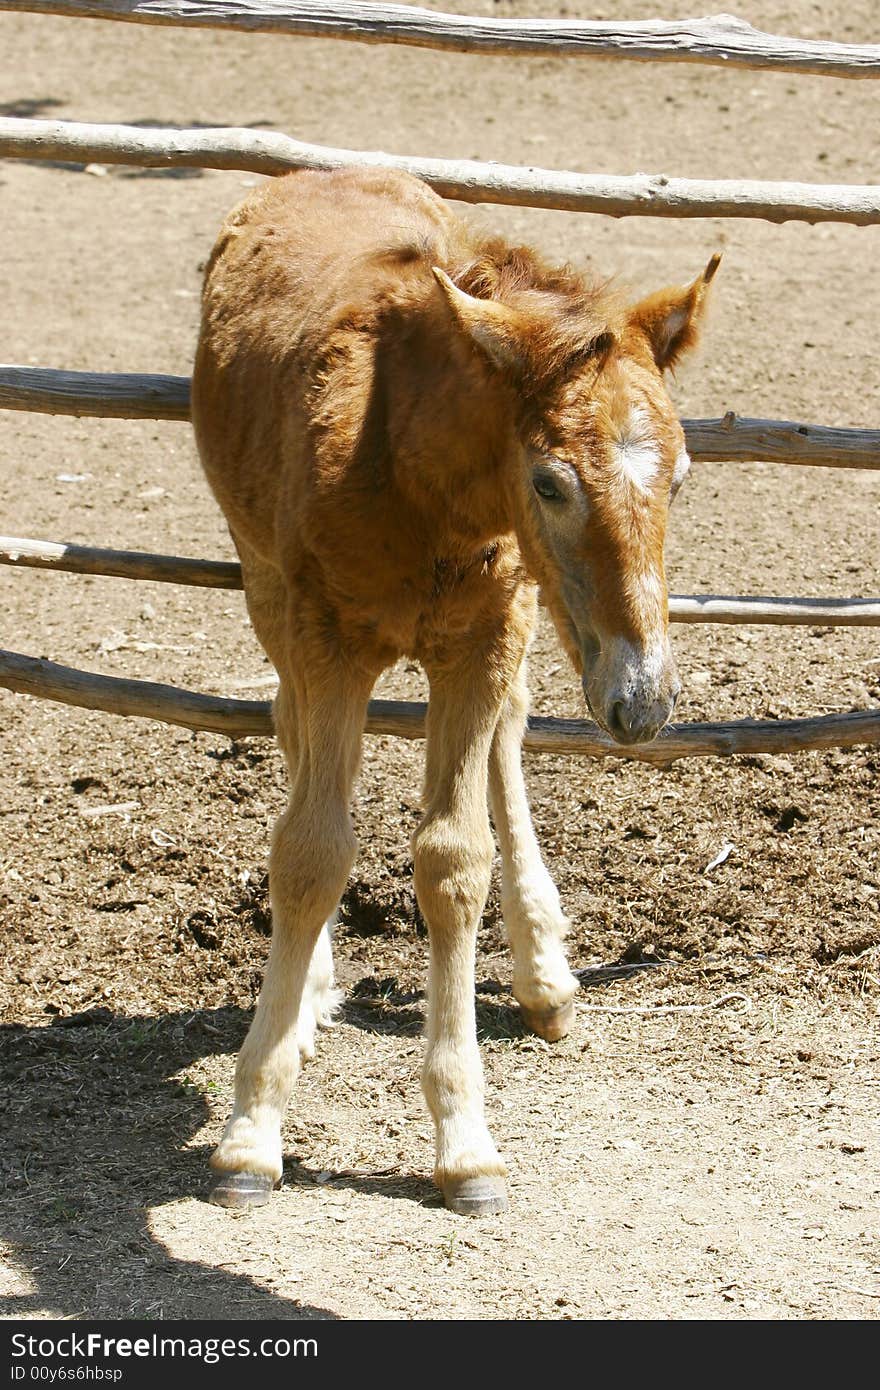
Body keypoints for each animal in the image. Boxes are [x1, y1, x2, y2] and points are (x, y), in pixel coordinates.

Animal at [191, 165, 711, 1217]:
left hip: (521, 615)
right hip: (267, 582)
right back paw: (310, 992)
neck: (411, 467)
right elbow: (310, 852)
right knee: (289, 726)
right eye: (550, 482)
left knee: (509, 734)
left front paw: (466, 1144)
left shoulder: (486, 633)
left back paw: (546, 971)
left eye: (680, 474)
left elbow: (452, 859)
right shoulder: (325, 636)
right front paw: (252, 1131)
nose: (645, 703)